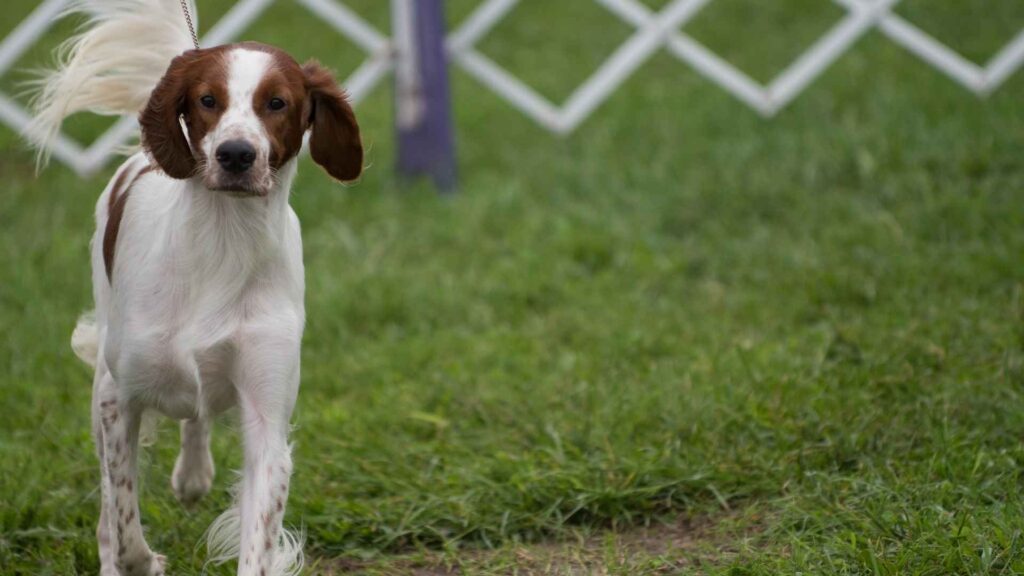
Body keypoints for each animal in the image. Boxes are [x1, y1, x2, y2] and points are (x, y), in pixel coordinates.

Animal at [29, 2, 364, 569]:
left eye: (277, 102)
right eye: (208, 100)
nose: (235, 154)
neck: (223, 244)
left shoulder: (267, 415)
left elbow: (258, 533)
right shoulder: (119, 397)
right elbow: (122, 515)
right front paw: (141, 561)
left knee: (197, 415)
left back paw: (192, 476)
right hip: (104, 374)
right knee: (108, 507)